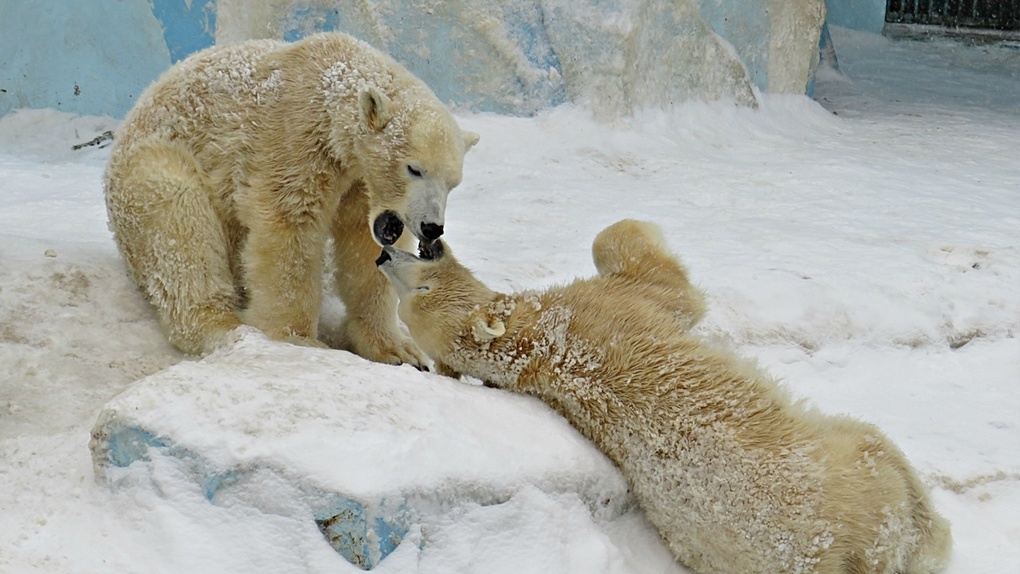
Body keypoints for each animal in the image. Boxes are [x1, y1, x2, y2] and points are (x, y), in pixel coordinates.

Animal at [105, 32, 479, 362]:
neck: (332, 82)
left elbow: (364, 249)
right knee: (181, 230)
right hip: (149, 173)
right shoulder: (294, 135)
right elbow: (289, 228)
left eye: (453, 183)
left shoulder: (359, 183)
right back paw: (227, 328)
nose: (431, 227)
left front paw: (398, 349)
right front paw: (296, 339)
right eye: (414, 168)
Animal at [379, 220, 950, 574]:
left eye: (419, 291)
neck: (533, 341)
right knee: (883, 455)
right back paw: (934, 539)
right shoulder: (609, 302)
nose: (387, 254)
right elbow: (659, 280)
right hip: (853, 478)